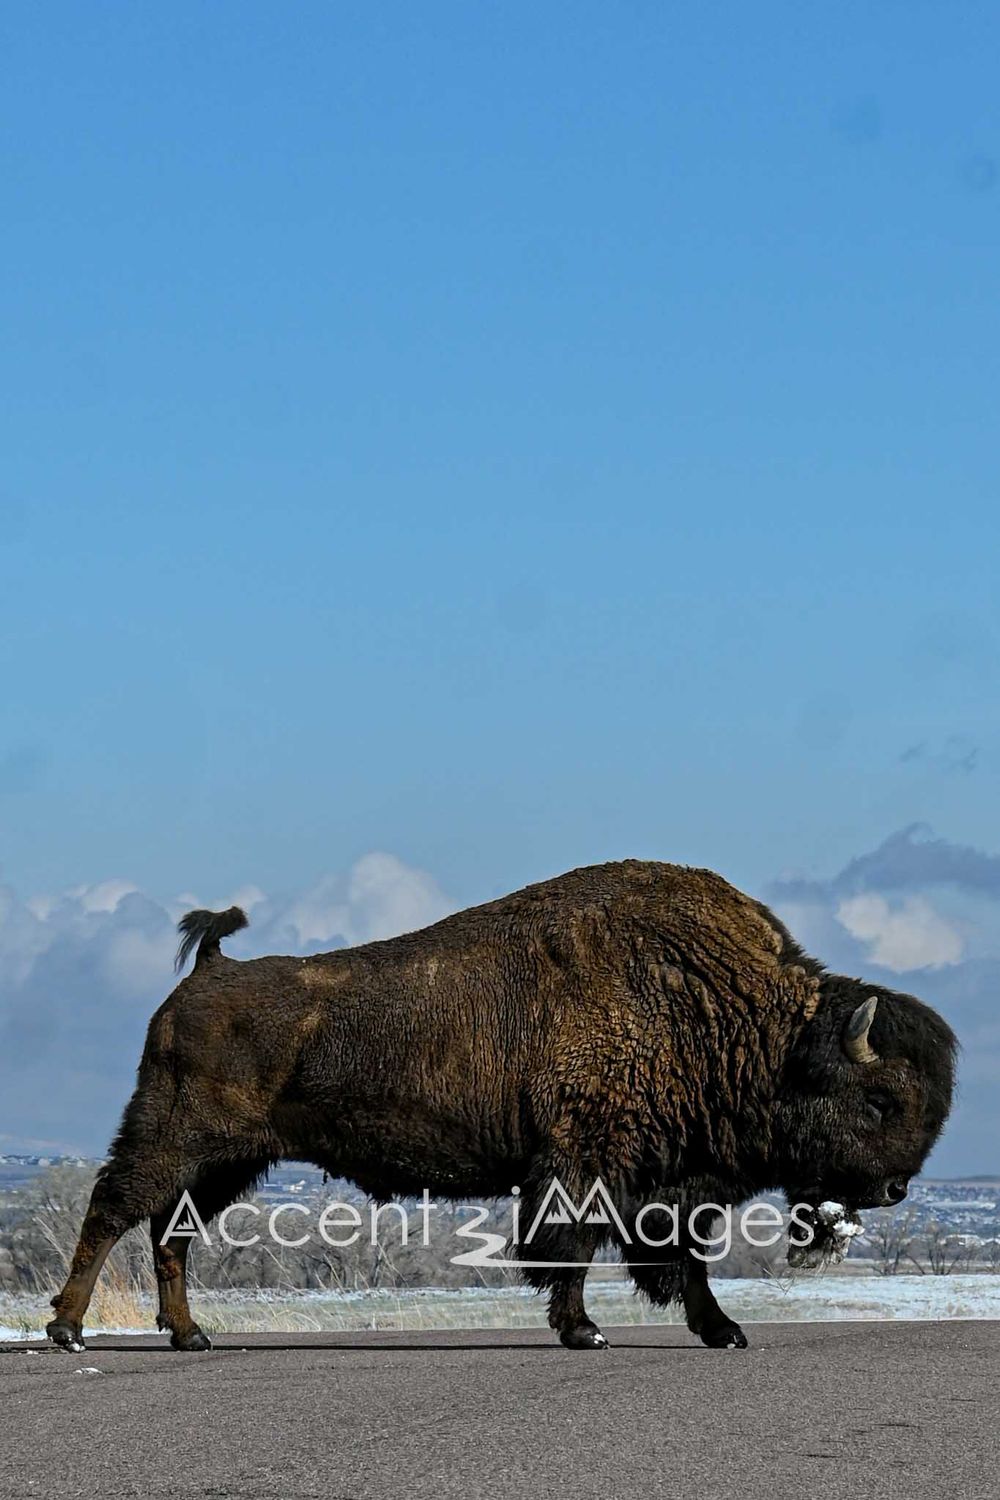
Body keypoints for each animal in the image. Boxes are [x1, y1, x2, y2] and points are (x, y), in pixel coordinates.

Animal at [48, 859, 955, 1353]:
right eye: (879, 1099)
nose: (894, 1190)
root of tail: (210, 970)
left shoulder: (664, 1184)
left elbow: (681, 1255)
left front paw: (721, 1329)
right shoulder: (584, 1164)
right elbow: (575, 1248)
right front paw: (584, 1330)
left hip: (229, 1160)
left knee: (170, 1233)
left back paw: (189, 1334)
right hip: (171, 1138)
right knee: (112, 1209)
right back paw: (68, 1329)